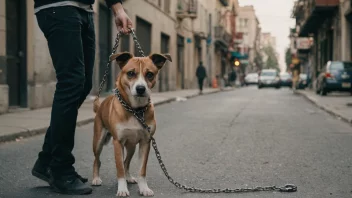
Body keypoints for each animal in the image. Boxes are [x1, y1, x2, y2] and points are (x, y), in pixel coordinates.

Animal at [92, 51, 172, 196]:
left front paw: (144, 188)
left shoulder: (145, 142)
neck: (135, 110)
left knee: (126, 162)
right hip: (98, 141)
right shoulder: (118, 142)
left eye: (150, 74)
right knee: (97, 160)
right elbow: (119, 169)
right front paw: (122, 189)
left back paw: (129, 177)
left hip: (131, 147)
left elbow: (141, 170)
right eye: (130, 73)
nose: (140, 88)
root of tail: (100, 106)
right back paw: (95, 178)